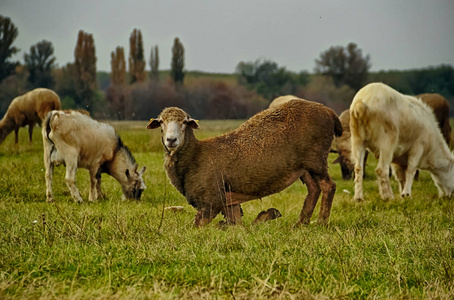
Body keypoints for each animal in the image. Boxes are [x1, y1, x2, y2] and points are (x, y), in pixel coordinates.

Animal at [147, 99, 342, 226]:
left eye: (184, 122)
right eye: (161, 122)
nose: (171, 140)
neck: (195, 156)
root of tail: (329, 112)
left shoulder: (211, 201)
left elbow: (196, 227)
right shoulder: (229, 200)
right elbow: (235, 224)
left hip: (316, 159)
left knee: (329, 186)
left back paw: (321, 222)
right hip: (304, 166)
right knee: (314, 189)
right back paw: (301, 224)